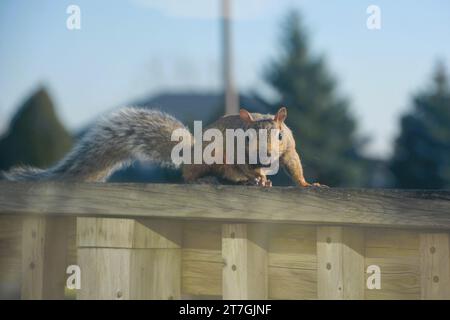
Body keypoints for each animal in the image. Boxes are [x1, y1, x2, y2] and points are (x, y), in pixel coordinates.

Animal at [0, 107, 324, 188]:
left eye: (279, 136)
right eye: (245, 138)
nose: (264, 158)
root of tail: (189, 153)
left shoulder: (289, 149)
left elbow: (294, 166)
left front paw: (308, 184)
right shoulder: (234, 153)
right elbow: (243, 166)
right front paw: (257, 177)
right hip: (207, 158)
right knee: (194, 175)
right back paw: (208, 179)